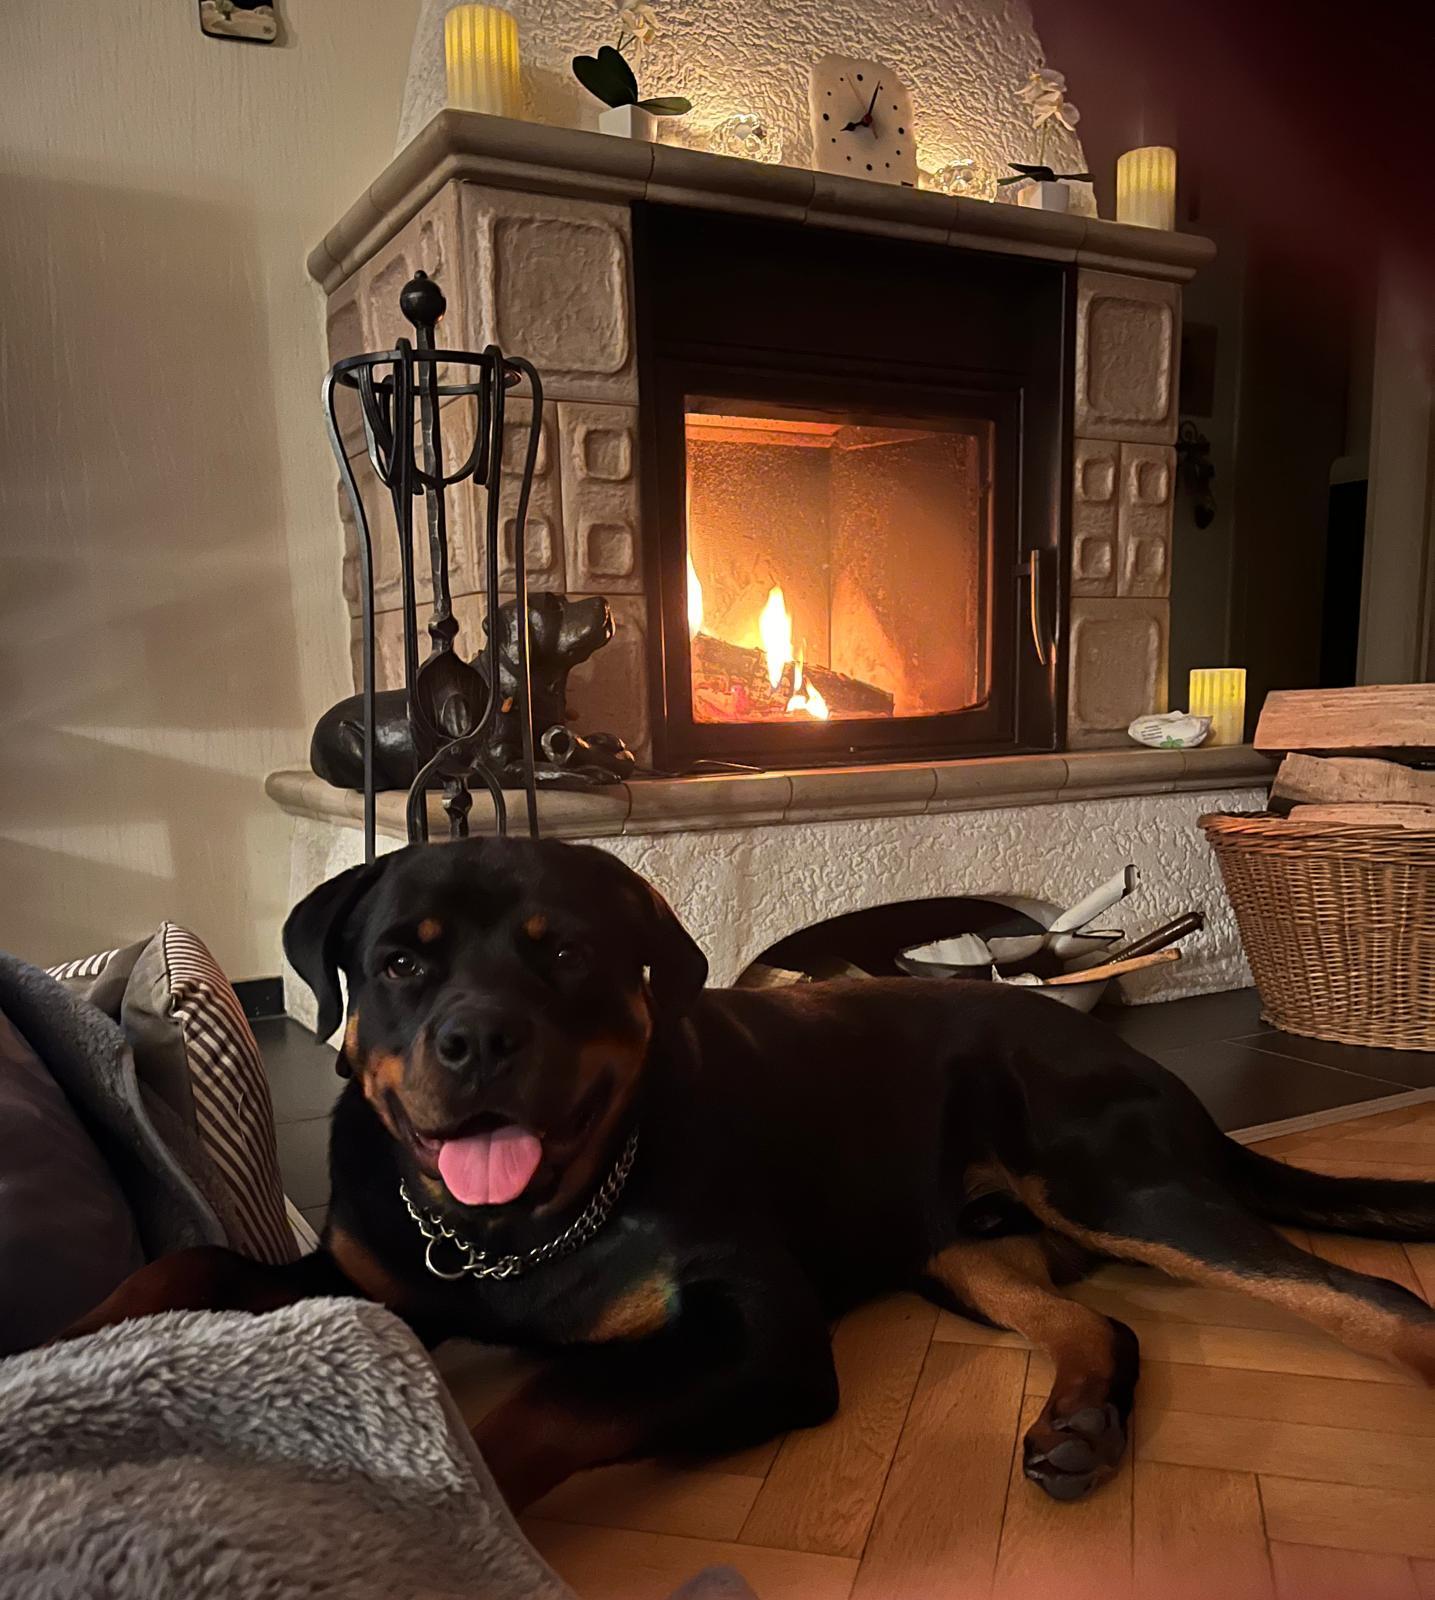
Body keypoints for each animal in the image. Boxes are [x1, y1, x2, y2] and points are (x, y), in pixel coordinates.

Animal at [65, 837, 1435, 1510]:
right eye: (402, 959)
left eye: (562, 953)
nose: (477, 1037)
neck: (511, 1233)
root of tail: (1117, 1043)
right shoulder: (360, 1264)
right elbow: (190, 1257)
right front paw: (75, 1334)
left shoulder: (754, 1332)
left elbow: (545, 1401)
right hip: (957, 1247)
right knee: (1093, 1321)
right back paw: (1080, 1422)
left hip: (1117, 1186)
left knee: (1367, 1296)